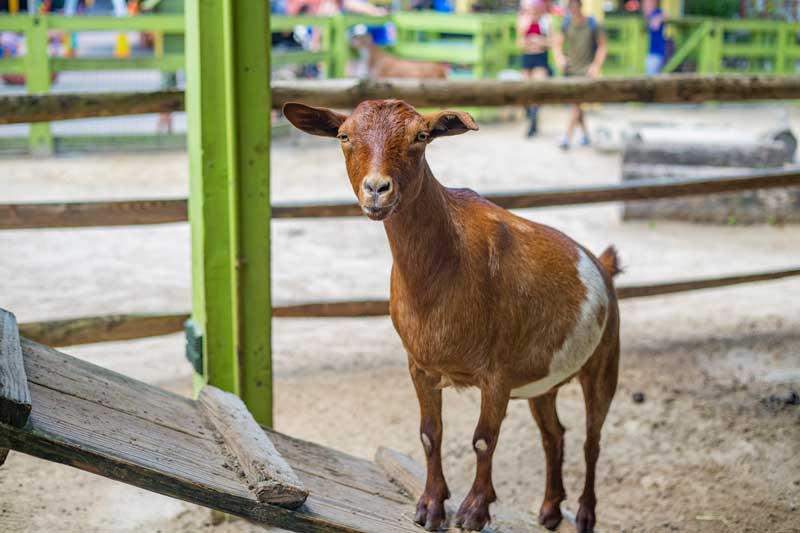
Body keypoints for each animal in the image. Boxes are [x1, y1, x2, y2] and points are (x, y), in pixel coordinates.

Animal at [283, 99, 620, 533]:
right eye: (344, 136)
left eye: (421, 136)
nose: (376, 189)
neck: (448, 265)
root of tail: (603, 266)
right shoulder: (420, 366)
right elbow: (430, 434)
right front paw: (430, 506)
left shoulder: (497, 375)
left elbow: (483, 440)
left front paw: (474, 510)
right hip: (543, 383)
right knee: (554, 435)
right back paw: (548, 510)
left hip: (603, 364)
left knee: (592, 441)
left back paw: (584, 514)